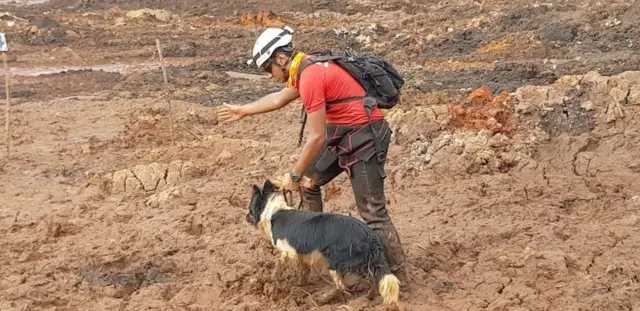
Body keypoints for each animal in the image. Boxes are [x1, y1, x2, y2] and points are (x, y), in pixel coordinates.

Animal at [246, 179, 400, 306]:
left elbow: (278, 268)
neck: (274, 212)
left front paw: (275, 283)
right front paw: (300, 284)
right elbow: (303, 270)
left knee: (341, 286)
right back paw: (368, 297)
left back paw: (322, 299)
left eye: (249, 208)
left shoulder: (287, 251)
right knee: (373, 277)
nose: (246, 217)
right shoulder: (301, 253)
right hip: (357, 260)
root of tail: (370, 234)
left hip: (336, 260)